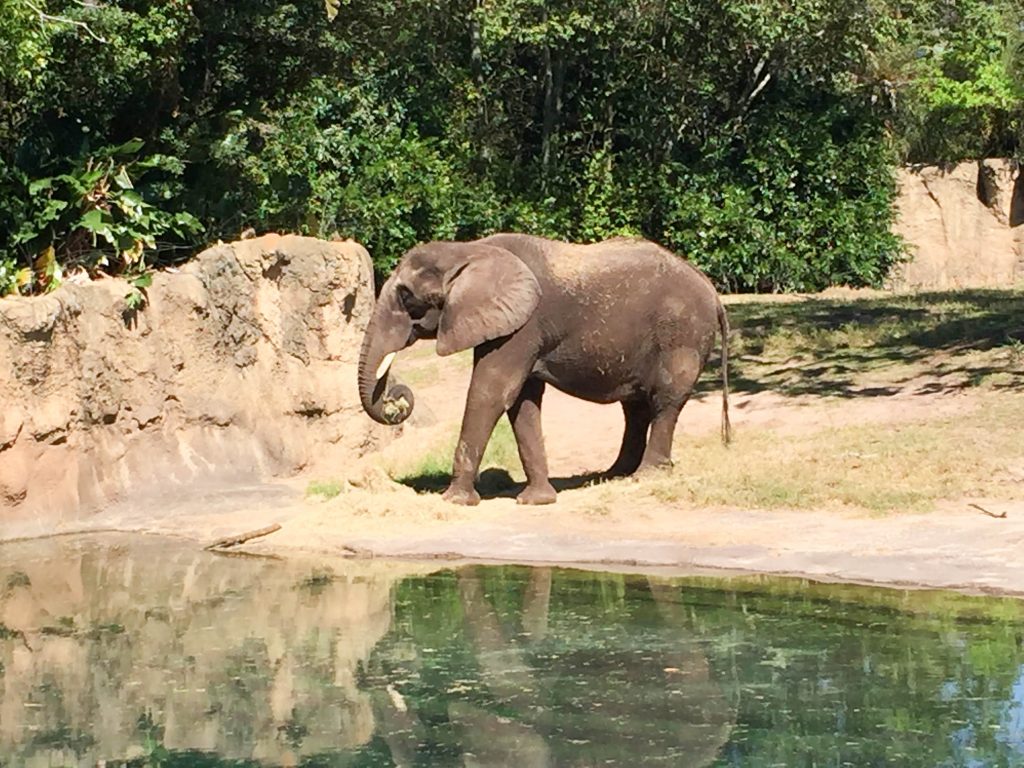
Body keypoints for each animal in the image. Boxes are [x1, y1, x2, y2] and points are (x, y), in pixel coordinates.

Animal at [356, 231, 733, 507]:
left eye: (406, 297)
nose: (397, 398)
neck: (468, 251)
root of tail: (713, 293)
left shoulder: (523, 326)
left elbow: (491, 391)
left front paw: (454, 501)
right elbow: (521, 402)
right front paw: (536, 501)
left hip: (681, 335)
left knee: (664, 401)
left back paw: (646, 476)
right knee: (636, 407)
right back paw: (612, 475)